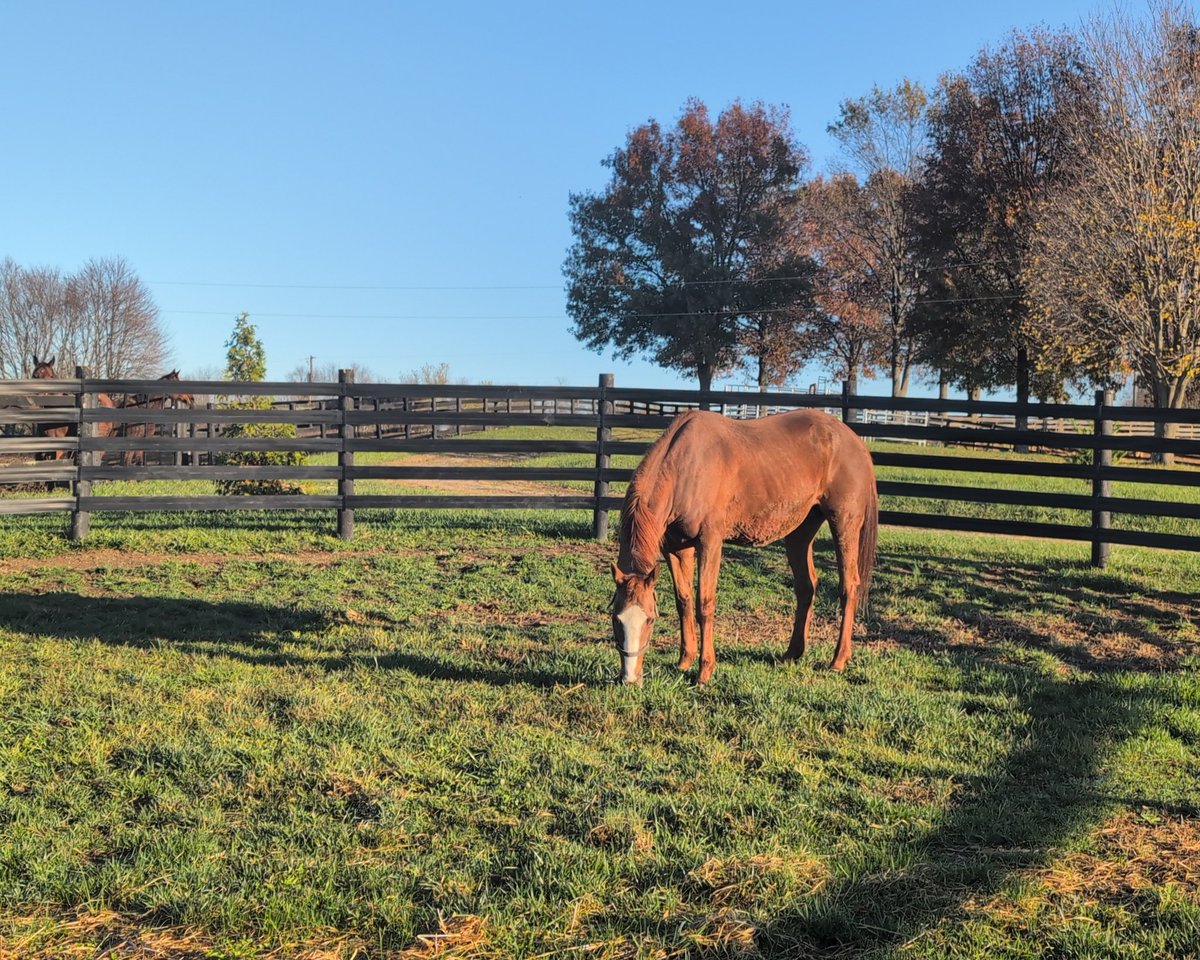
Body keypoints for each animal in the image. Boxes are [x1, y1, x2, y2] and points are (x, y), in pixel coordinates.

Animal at [611, 408, 879, 686]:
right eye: (616, 619)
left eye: (650, 620)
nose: (629, 679)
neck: (686, 467)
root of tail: (854, 441)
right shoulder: (676, 548)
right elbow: (683, 601)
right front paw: (684, 661)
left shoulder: (710, 543)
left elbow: (704, 604)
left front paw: (704, 671)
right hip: (800, 532)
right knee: (806, 587)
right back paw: (792, 653)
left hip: (844, 524)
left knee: (848, 587)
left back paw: (838, 660)